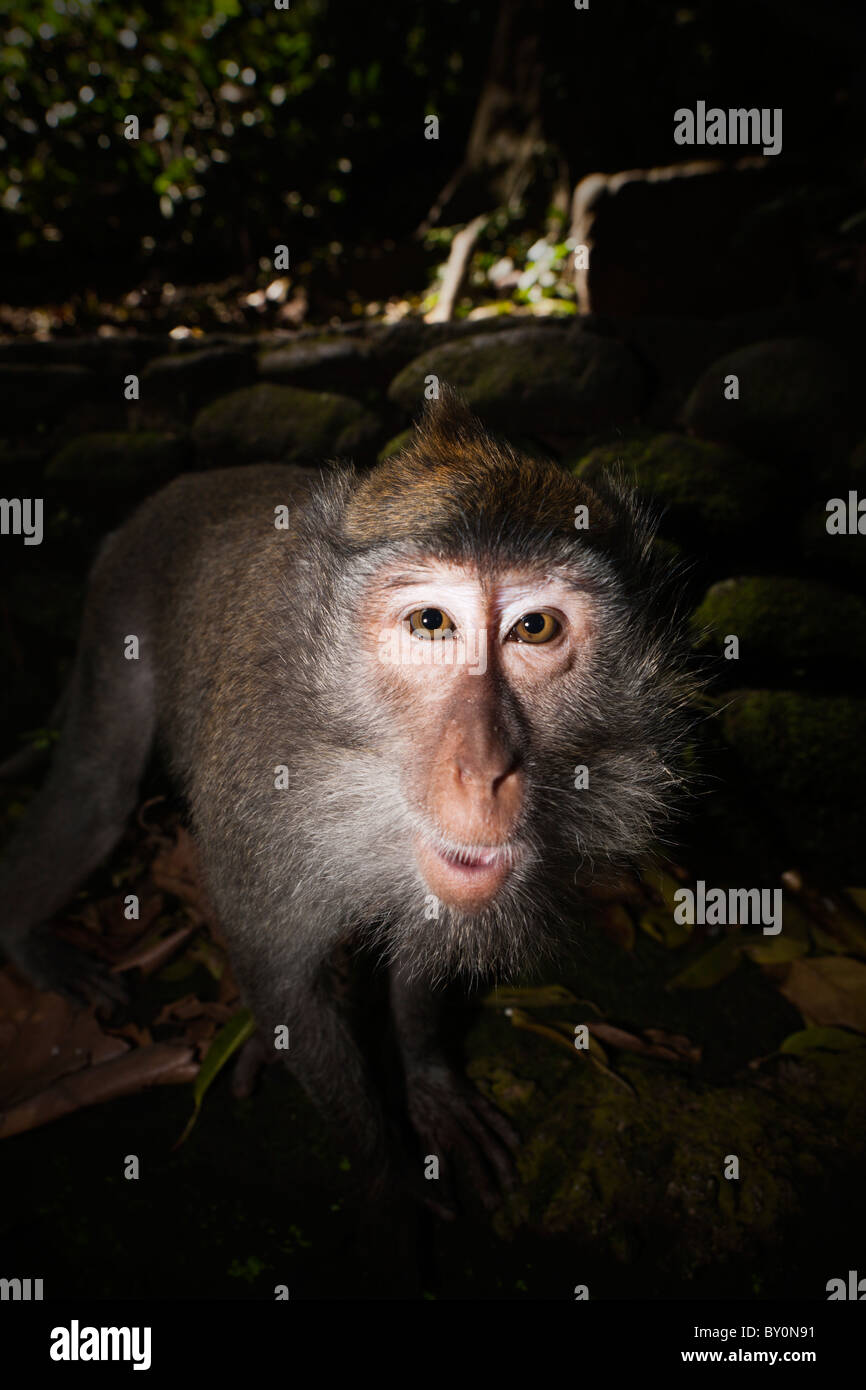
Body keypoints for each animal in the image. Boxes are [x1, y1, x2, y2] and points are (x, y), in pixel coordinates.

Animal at [0, 390, 692, 1210]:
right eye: (431, 623)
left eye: (536, 627)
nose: (483, 769)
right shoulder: (256, 789)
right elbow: (283, 981)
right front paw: (392, 1183)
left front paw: (428, 1080)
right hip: (120, 601)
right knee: (99, 788)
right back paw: (24, 937)